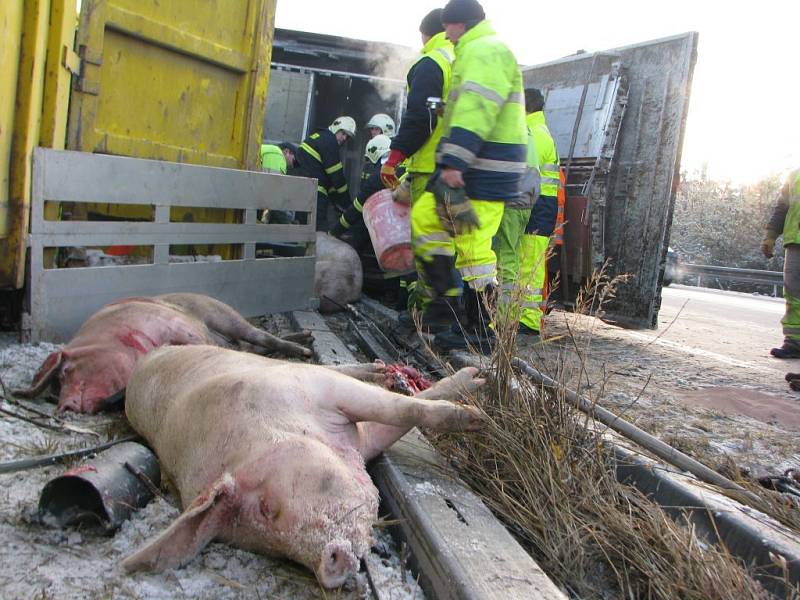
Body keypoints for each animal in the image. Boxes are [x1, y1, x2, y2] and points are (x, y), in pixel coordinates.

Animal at [18, 292, 312, 414]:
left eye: (65, 372)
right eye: (56, 386)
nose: (63, 406)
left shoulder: (173, 324)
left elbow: (200, 342)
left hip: (224, 315)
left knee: (261, 336)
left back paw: (306, 348)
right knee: (253, 344)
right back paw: (306, 338)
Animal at [119, 346, 482, 584]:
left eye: (266, 507)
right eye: (276, 550)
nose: (327, 567)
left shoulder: (314, 386)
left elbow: (402, 408)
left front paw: (475, 409)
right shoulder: (361, 444)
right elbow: (399, 416)